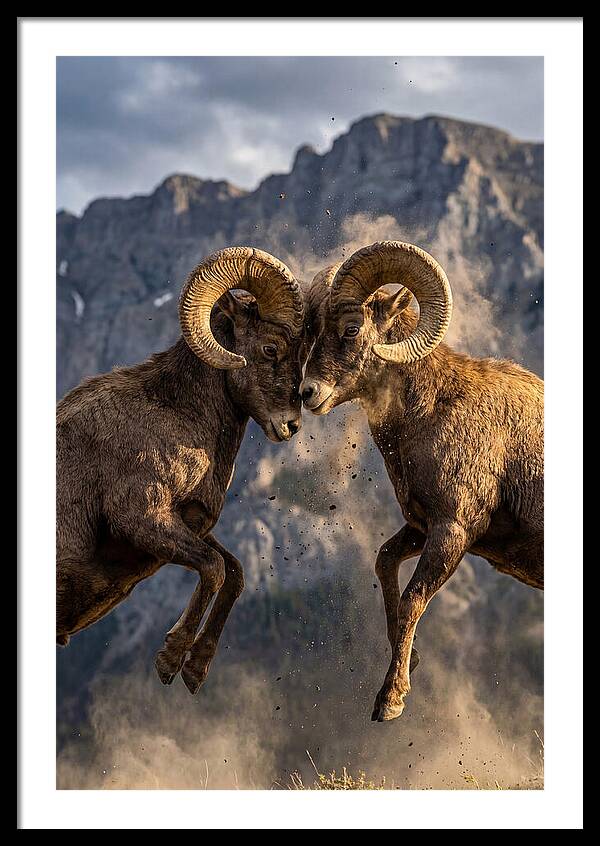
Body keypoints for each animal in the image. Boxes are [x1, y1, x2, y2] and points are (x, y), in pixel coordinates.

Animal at [57, 246, 307, 693]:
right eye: (270, 348)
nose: (291, 425)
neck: (177, 414)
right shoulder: (142, 519)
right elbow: (213, 568)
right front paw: (170, 660)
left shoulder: (189, 525)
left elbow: (234, 572)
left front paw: (195, 670)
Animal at [300, 241, 543, 722]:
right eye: (313, 329)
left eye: (352, 328)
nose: (307, 393)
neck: (432, 410)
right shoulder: (420, 527)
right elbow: (384, 563)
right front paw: (409, 660)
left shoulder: (453, 531)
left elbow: (414, 598)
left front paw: (390, 701)